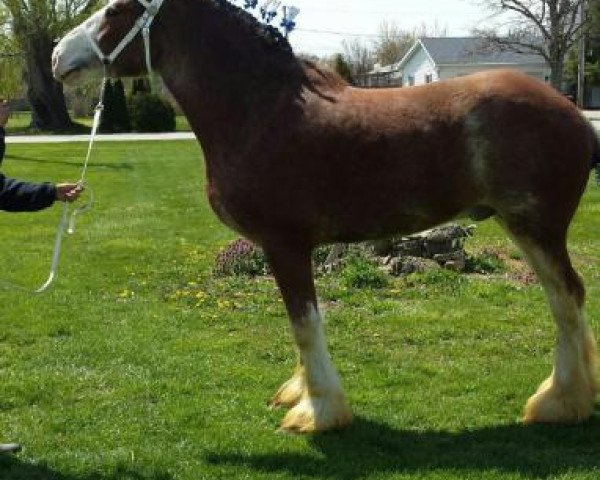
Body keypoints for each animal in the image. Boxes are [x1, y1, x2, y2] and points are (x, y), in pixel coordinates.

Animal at [52, 0, 600, 434]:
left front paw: (319, 413)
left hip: (536, 227)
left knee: (566, 299)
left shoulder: (285, 244)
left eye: (116, 9)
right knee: (564, 299)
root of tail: (573, 114)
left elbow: (304, 324)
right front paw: (301, 394)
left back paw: (558, 402)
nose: (58, 56)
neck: (260, 111)